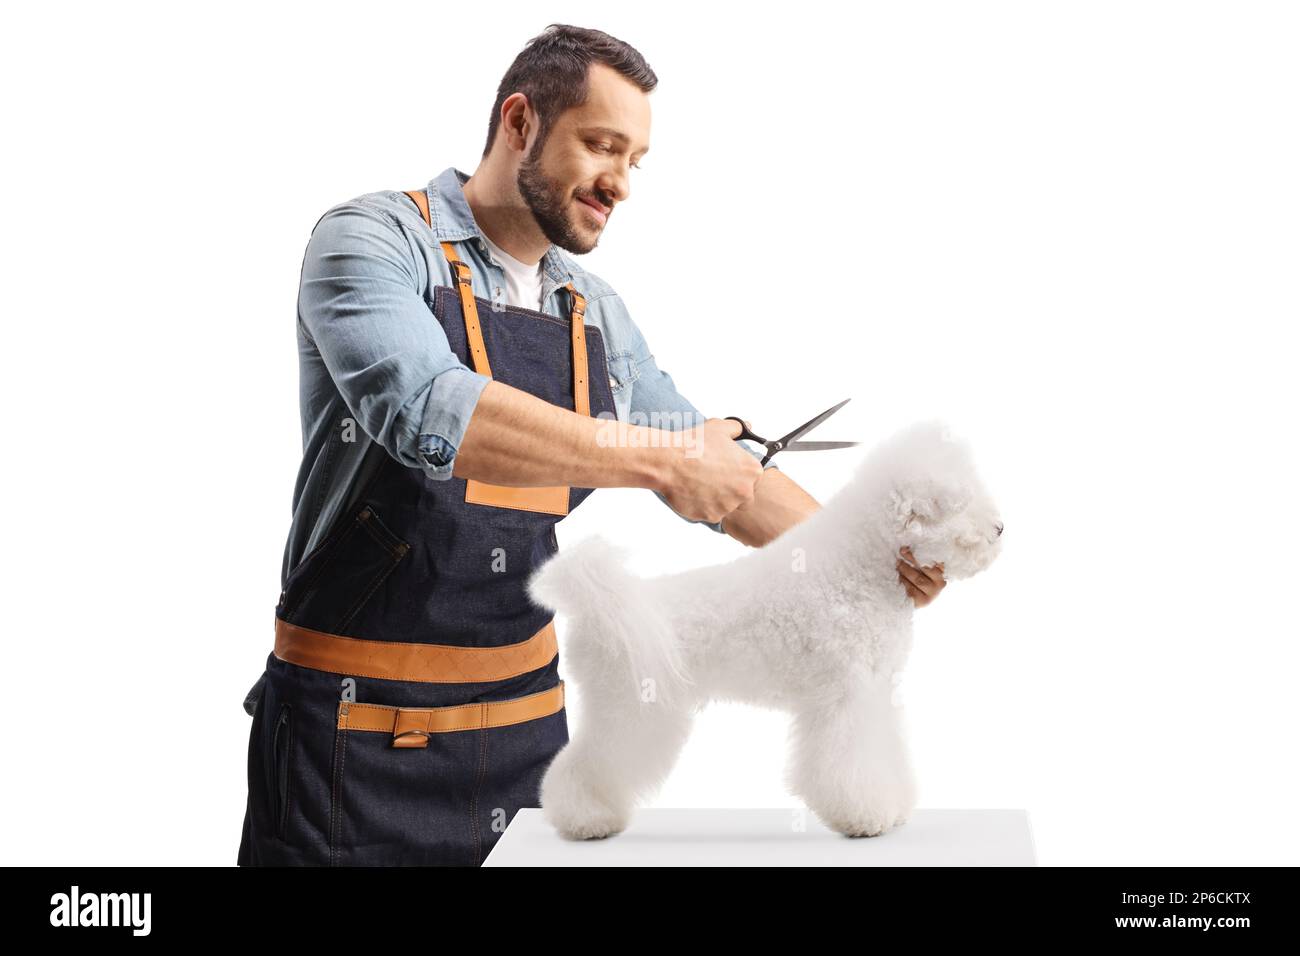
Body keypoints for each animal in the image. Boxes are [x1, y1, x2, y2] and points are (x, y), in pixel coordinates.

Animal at [522, 421, 998, 842]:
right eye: (960, 503)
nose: (999, 528)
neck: (858, 568)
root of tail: (603, 606)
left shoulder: (875, 690)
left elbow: (884, 749)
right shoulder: (846, 695)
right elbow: (850, 763)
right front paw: (866, 816)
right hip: (630, 705)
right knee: (586, 764)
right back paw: (586, 820)